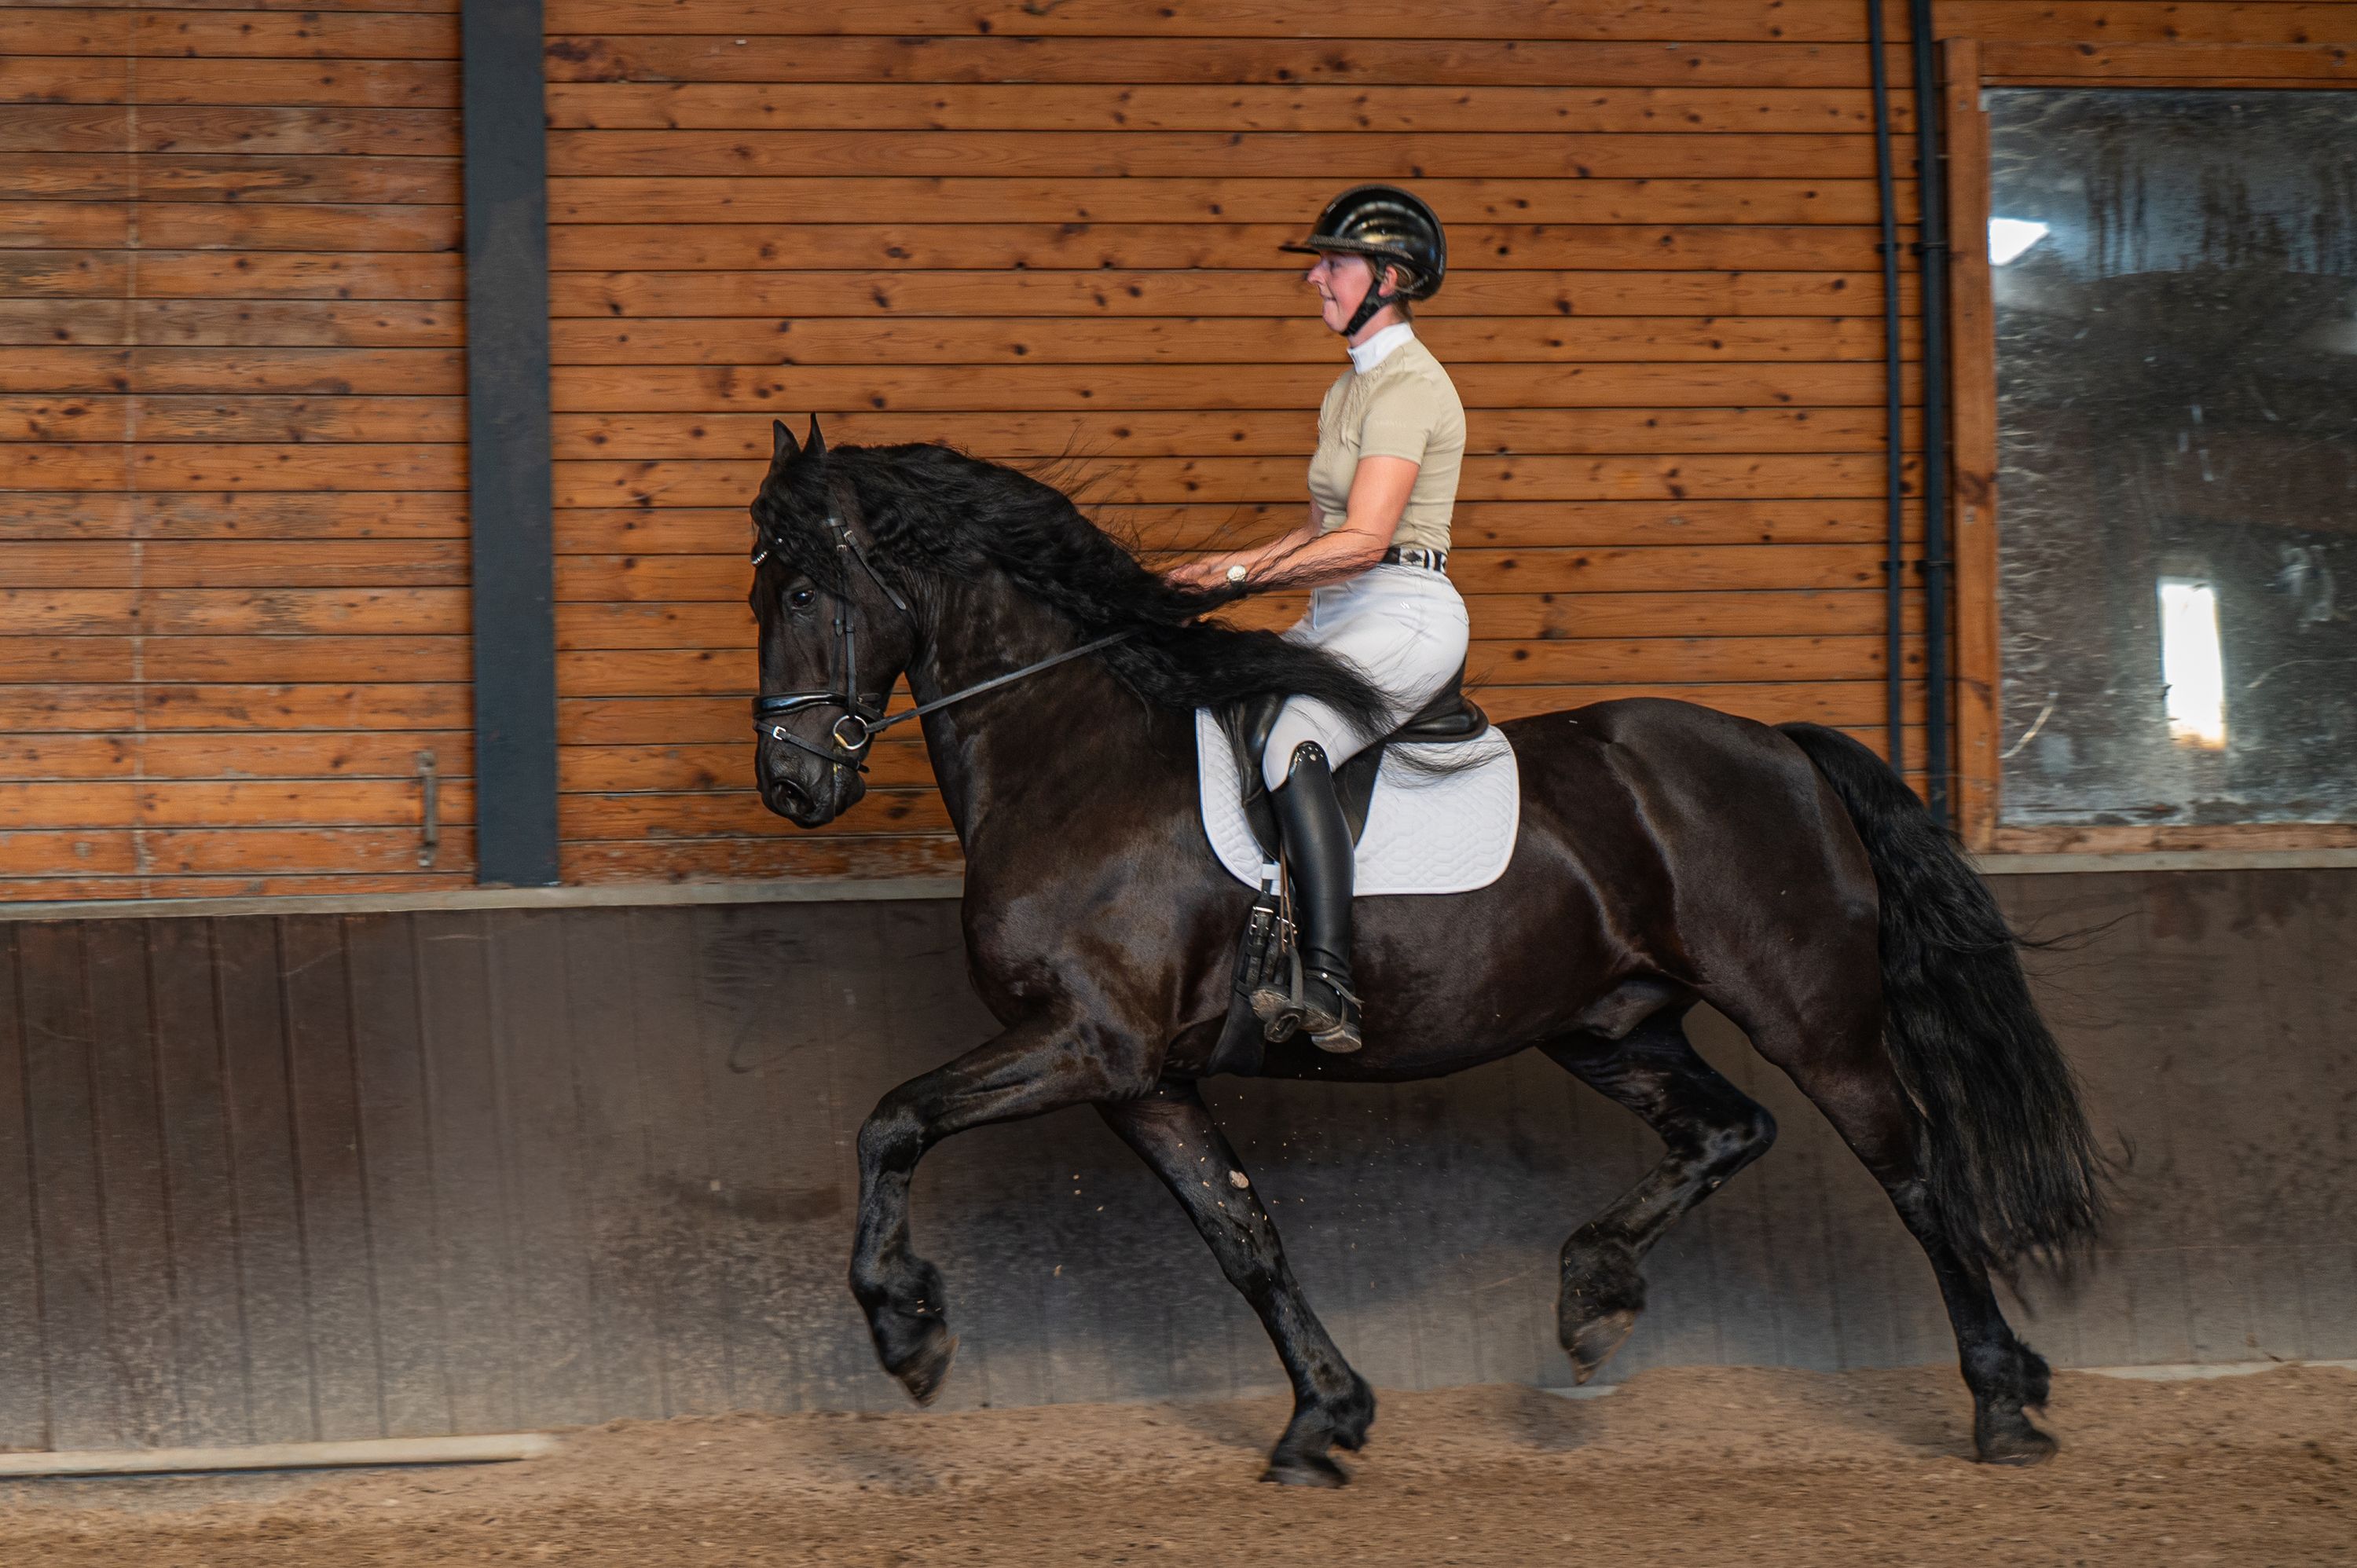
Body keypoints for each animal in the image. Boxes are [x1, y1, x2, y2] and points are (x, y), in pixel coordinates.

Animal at [746, 416, 2106, 1485]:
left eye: (802, 594)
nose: (790, 785)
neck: (1074, 750)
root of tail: (1780, 745)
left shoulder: (1087, 1041)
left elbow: (891, 1121)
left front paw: (908, 1331)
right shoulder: (1143, 1078)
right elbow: (1243, 1235)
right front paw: (1324, 1420)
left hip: (1811, 1015)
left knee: (1912, 1173)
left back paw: (2002, 1402)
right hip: (1610, 1025)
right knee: (1731, 1130)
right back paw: (1595, 1293)